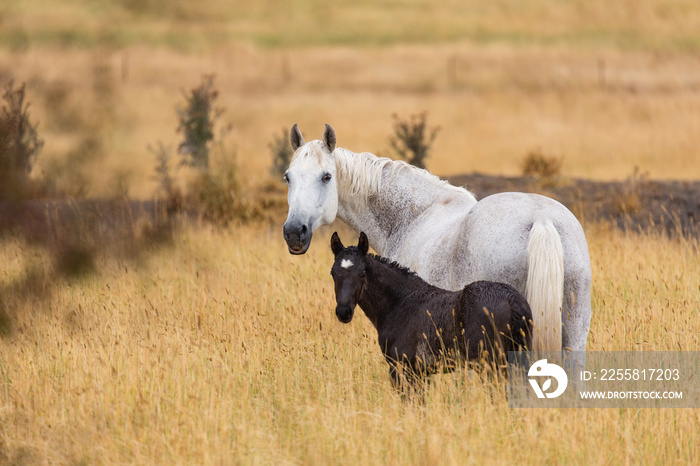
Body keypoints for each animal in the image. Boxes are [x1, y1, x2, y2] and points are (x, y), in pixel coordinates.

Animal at [284, 124, 592, 354]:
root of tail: (541, 220)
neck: (413, 217)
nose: (294, 232)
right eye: (288, 177)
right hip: (574, 333)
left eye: (326, 176)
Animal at [330, 231, 532, 388]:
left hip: (493, 364)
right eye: (333, 273)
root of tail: (514, 301)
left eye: (363, 273)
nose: (343, 312)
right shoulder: (421, 373)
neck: (400, 303)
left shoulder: (402, 368)